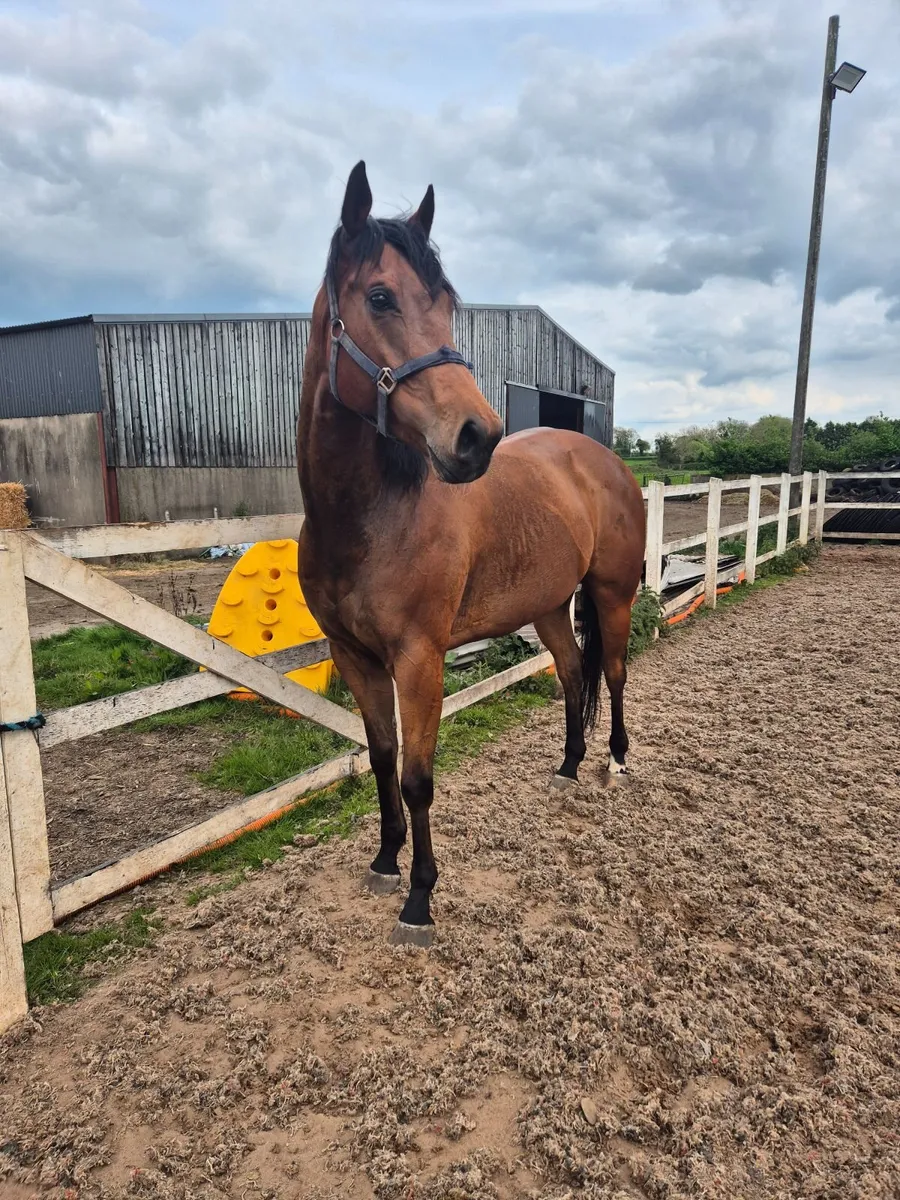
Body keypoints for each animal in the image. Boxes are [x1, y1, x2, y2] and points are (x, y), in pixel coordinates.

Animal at [297, 161, 646, 947]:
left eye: (449, 306)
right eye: (380, 296)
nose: (478, 435)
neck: (368, 519)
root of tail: (604, 460)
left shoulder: (419, 659)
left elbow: (419, 777)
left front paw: (420, 900)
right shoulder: (355, 657)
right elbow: (383, 760)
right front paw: (385, 860)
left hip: (612, 593)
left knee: (611, 672)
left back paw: (613, 762)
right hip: (548, 604)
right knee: (571, 673)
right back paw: (568, 767)